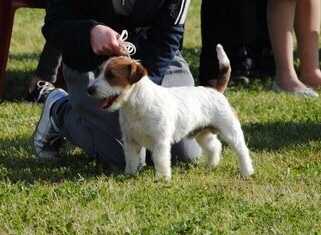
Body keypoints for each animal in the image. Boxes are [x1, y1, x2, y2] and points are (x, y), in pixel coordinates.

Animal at [87, 44, 252, 180]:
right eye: (98, 72)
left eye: (111, 75)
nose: (89, 90)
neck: (136, 105)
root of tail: (216, 90)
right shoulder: (130, 141)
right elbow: (131, 160)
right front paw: (129, 174)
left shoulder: (160, 142)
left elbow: (161, 161)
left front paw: (163, 179)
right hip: (203, 133)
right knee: (214, 146)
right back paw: (211, 165)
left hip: (230, 130)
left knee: (242, 150)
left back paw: (247, 171)